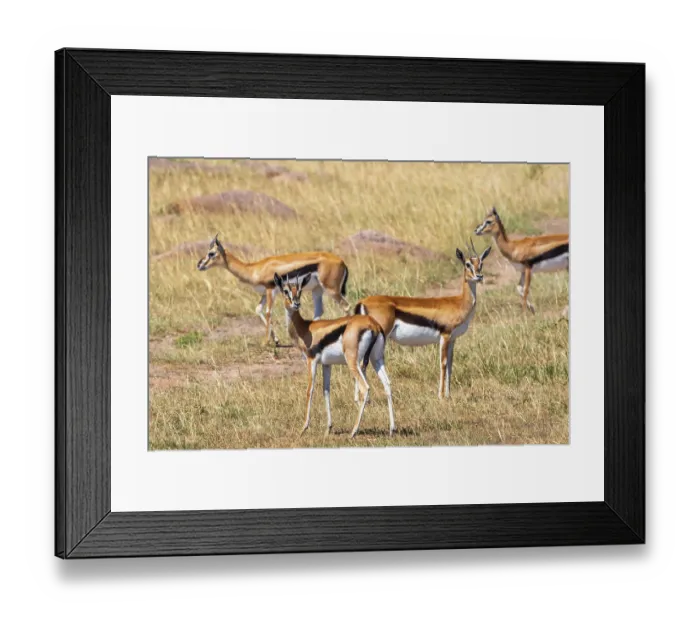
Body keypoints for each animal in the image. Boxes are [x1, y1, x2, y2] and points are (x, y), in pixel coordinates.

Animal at [197, 234, 351, 346]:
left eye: (211, 253)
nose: (199, 265)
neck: (254, 269)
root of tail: (342, 262)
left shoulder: (271, 290)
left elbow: (268, 312)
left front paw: (265, 342)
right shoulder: (265, 293)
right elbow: (258, 309)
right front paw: (276, 340)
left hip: (331, 290)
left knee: (346, 306)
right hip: (317, 290)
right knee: (319, 311)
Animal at [274, 272, 395, 438]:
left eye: (299, 291)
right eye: (286, 291)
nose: (296, 304)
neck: (305, 328)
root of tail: (373, 325)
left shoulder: (311, 361)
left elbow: (310, 390)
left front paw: (304, 427)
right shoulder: (327, 364)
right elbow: (326, 391)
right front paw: (328, 428)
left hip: (353, 362)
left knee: (365, 388)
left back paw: (353, 431)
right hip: (376, 359)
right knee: (387, 384)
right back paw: (392, 429)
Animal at [354, 239, 491, 400]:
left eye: (481, 263)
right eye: (467, 264)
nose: (479, 276)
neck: (459, 302)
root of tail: (363, 302)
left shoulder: (453, 339)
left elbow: (450, 365)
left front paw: (448, 395)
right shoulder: (445, 336)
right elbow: (443, 364)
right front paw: (440, 396)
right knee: (363, 361)